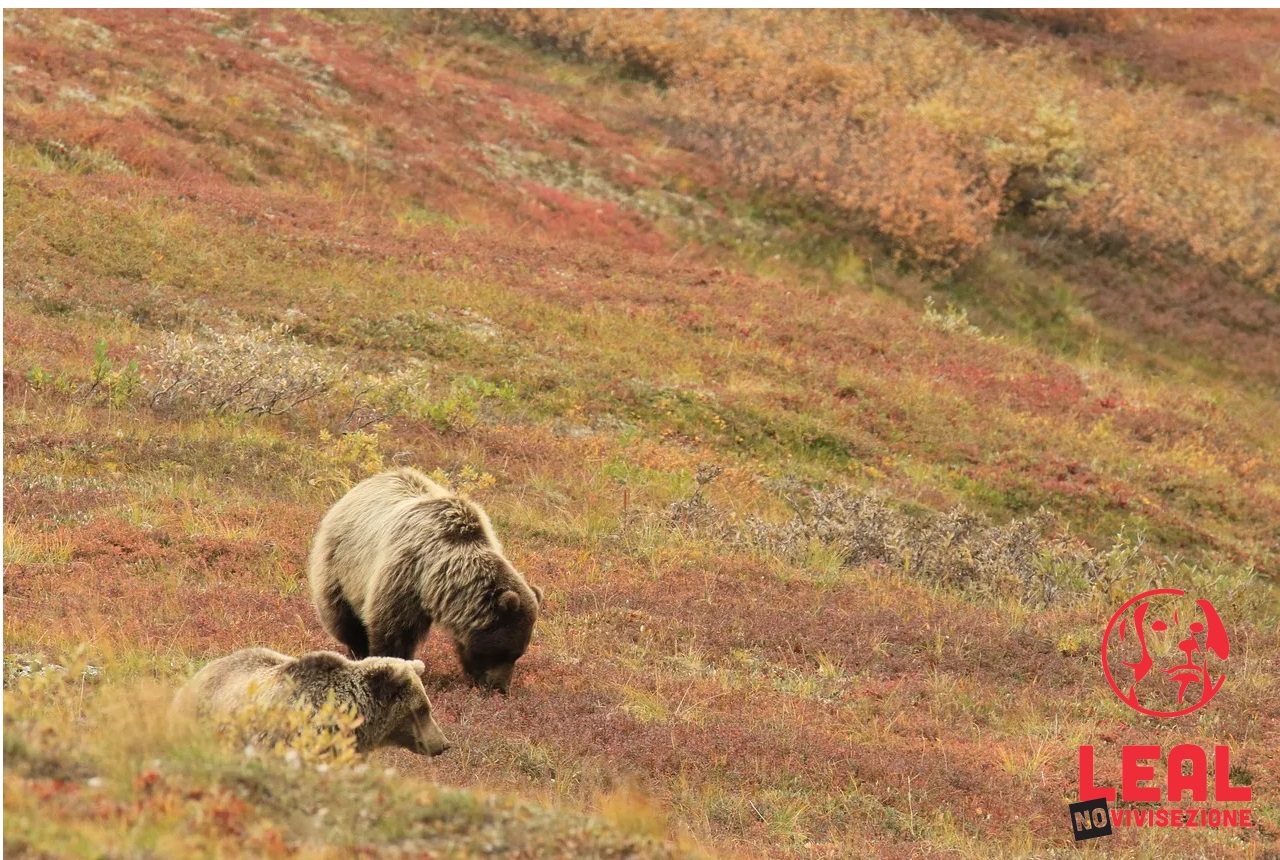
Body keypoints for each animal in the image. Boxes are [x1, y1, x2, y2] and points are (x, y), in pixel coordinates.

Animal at [313, 465, 545, 696]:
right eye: (503, 652)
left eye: (518, 654)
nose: (501, 689)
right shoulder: (404, 575)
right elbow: (392, 630)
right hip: (339, 564)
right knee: (343, 617)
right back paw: (356, 651)